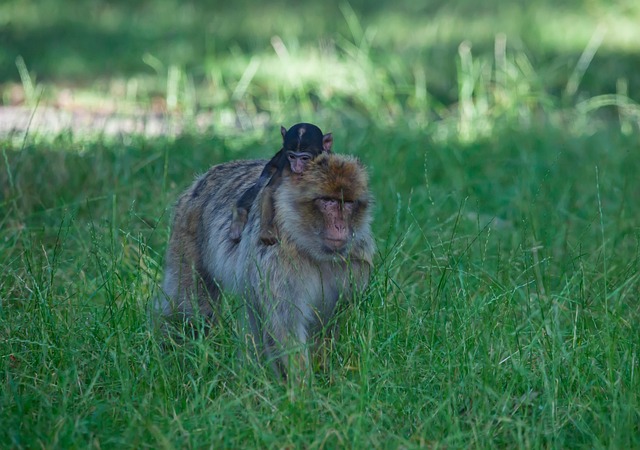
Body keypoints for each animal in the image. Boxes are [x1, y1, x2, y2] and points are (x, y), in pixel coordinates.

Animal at [157, 152, 375, 380]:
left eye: (348, 203)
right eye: (328, 201)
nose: (340, 226)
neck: (311, 250)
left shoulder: (356, 266)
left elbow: (330, 324)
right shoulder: (277, 263)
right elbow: (284, 329)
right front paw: (302, 388)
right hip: (187, 236)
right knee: (192, 311)